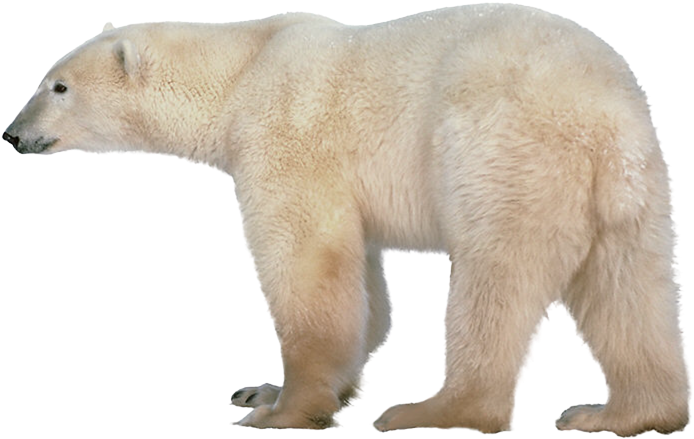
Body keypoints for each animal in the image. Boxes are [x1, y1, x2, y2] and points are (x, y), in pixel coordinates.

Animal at [3, 3, 690, 435]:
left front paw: (283, 409)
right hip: (631, 190)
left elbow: (308, 264)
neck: (243, 66)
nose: (13, 134)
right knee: (631, 290)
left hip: (505, 150)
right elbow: (363, 283)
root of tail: (604, 110)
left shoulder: (287, 134)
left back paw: (431, 410)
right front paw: (268, 390)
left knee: (496, 279)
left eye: (58, 86)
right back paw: (622, 414)